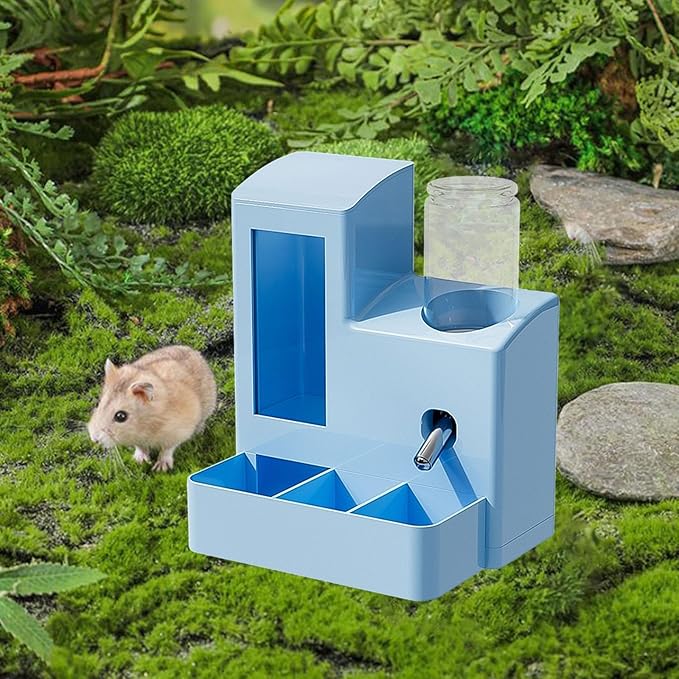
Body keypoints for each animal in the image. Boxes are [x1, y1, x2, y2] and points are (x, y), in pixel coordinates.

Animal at [87, 345, 217, 472]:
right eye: (98, 404)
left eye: (121, 416)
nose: (94, 439)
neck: (144, 425)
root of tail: (194, 351)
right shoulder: (138, 439)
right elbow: (140, 447)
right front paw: (140, 461)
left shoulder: (177, 433)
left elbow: (167, 449)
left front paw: (160, 468)